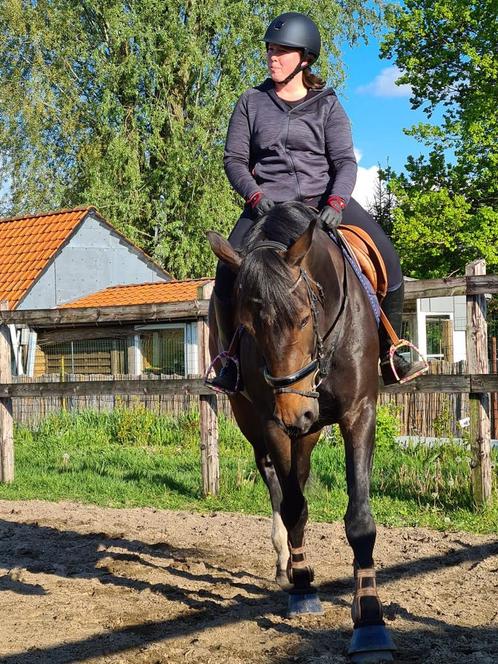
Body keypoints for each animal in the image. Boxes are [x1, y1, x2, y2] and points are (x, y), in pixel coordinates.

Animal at [207, 204, 396, 664]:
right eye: (247, 326)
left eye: (306, 318)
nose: (297, 410)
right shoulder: (272, 422)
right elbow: (292, 506)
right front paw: (303, 585)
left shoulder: (359, 413)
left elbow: (359, 519)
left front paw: (369, 619)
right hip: (258, 422)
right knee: (278, 485)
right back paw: (287, 565)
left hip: (309, 432)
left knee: (300, 478)